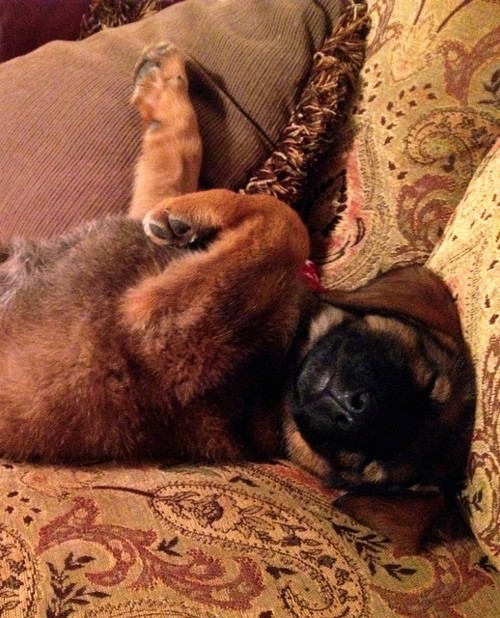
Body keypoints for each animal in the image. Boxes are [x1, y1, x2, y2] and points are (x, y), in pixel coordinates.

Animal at [0, 47, 474, 544]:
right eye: (429, 379)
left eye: (373, 466)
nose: (354, 407)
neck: (279, 367)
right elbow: (179, 159)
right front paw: (165, 85)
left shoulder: (158, 321)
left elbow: (286, 224)